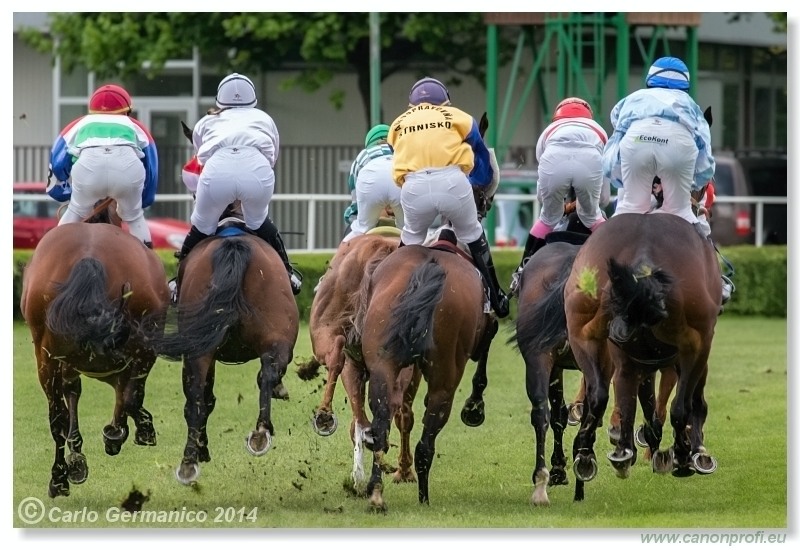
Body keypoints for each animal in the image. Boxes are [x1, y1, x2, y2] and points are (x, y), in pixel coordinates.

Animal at [19, 203, 169, 500]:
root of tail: (89, 257)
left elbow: (74, 396)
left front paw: (78, 458)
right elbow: (126, 393)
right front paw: (124, 431)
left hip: (46, 355)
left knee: (57, 416)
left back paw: (59, 478)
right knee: (124, 392)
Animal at [155, 217, 298, 488]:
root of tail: (234, 247)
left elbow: (206, 399)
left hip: (198, 352)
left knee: (195, 401)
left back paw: (189, 462)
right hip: (274, 337)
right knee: (266, 376)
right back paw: (260, 433)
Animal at [354, 238, 496, 512]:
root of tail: (429, 267)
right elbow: (485, 354)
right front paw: (474, 407)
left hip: (382, 364)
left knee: (381, 425)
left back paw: (376, 492)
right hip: (446, 375)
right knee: (427, 439)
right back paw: (423, 497)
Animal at [564, 213, 724, 502]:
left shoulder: (631, 357)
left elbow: (634, 399)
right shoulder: (694, 347)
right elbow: (685, 404)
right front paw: (687, 452)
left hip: (582, 331)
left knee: (599, 394)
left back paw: (589, 454)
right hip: (695, 343)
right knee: (682, 404)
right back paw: (682, 455)